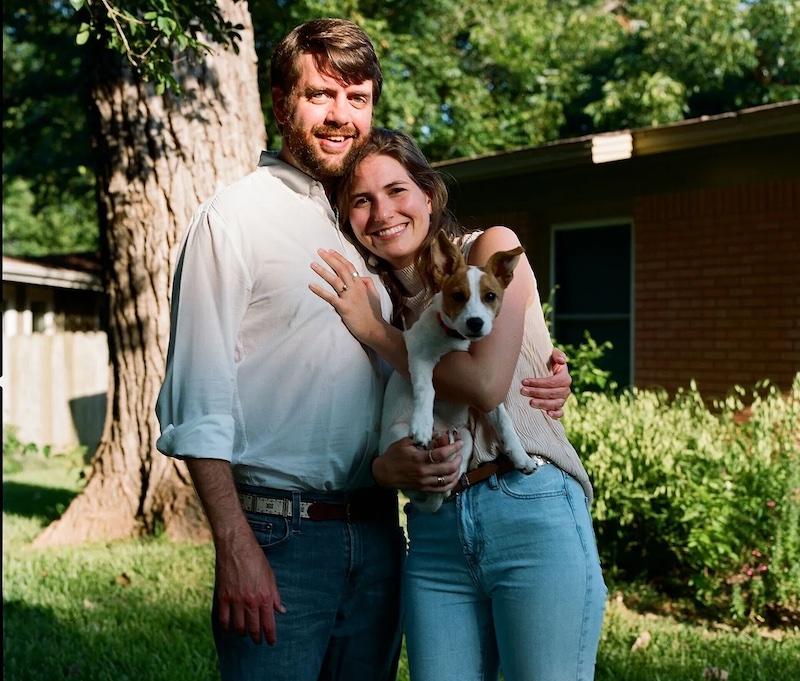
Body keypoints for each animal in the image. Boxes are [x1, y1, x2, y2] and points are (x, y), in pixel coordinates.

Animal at [380, 232, 536, 510]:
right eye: (457, 295)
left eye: (490, 296)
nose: (475, 323)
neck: (453, 339)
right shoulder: (419, 355)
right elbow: (427, 389)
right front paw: (422, 424)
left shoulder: (484, 392)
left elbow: (504, 421)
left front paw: (521, 457)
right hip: (398, 435)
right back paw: (430, 439)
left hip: (466, 437)